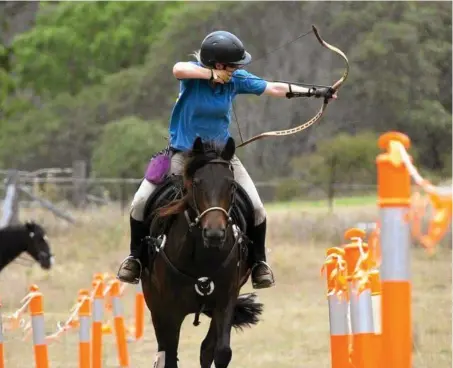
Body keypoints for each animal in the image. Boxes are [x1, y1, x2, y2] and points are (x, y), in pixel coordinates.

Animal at [140, 137, 262, 368]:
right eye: (197, 183)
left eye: (231, 185)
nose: (214, 233)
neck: (202, 256)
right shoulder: (169, 310)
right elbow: (170, 356)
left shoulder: (225, 300)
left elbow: (220, 352)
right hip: (154, 304)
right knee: (163, 351)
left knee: (206, 349)